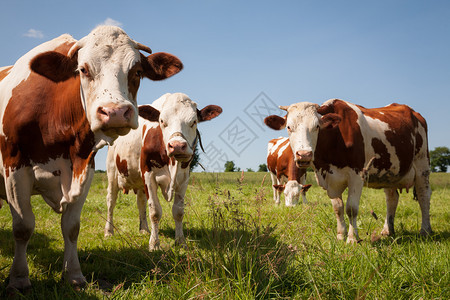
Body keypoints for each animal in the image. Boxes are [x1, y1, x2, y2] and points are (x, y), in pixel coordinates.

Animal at [0, 26, 183, 292]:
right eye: (83, 69)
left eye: (137, 72)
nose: (115, 112)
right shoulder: (14, 166)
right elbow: (23, 227)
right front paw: (19, 279)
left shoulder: (85, 169)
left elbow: (71, 227)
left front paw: (74, 275)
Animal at [102, 93, 221, 251]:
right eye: (162, 121)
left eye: (194, 121)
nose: (177, 145)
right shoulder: (148, 175)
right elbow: (155, 212)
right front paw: (154, 244)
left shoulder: (184, 179)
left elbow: (178, 211)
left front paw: (180, 241)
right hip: (112, 173)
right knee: (111, 201)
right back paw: (109, 232)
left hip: (139, 182)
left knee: (141, 202)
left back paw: (144, 229)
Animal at [264, 99, 432, 244]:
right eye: (289, 127)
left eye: (317, 126)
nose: (304, 154)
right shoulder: (329, 179)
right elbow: (338, 208)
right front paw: (340, 235)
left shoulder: (357, 175)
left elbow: (351, 208)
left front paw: (352, 238)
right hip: (390, 173)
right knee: (391, 198)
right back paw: (387, 230)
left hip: (422, 164)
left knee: (424, 196)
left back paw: (425, 230)